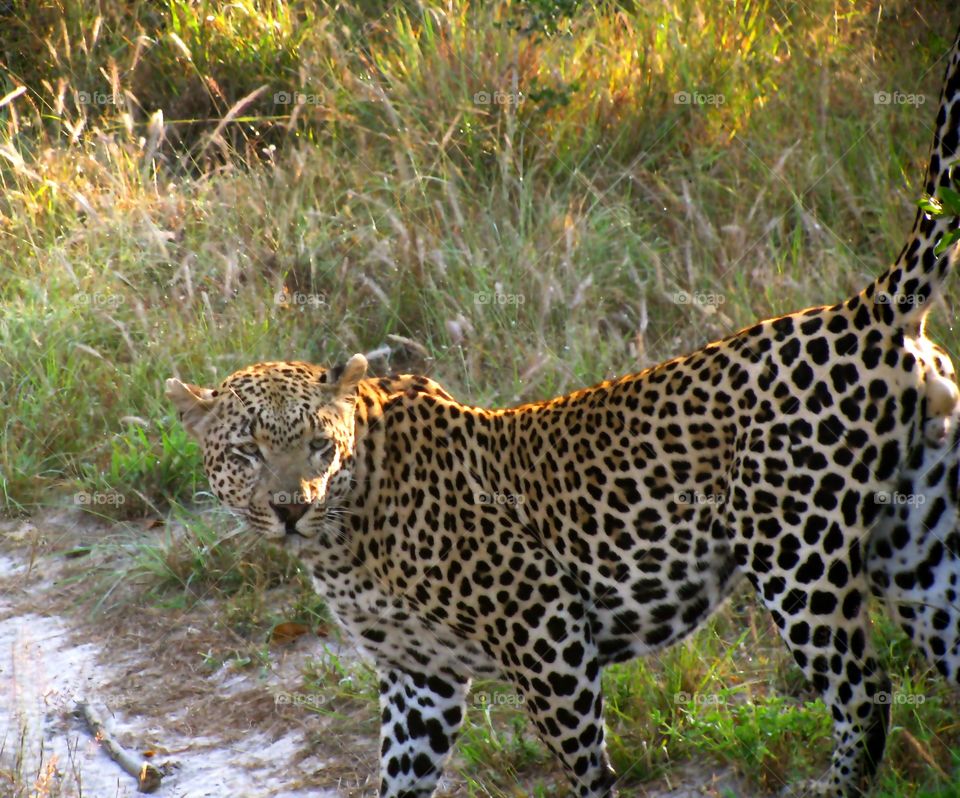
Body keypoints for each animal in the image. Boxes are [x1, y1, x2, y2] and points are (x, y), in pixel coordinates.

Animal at [166, 26, 960, 798]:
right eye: (247, 453)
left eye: (318, 446)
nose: (291, 508)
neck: (343, 535)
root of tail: (865, 308)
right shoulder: (420, 682)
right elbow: (400, 777)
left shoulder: (542, 623)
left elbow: (584, 763)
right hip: (916, 547)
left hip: (799, 553)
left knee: (862, 691)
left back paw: (840, 784)